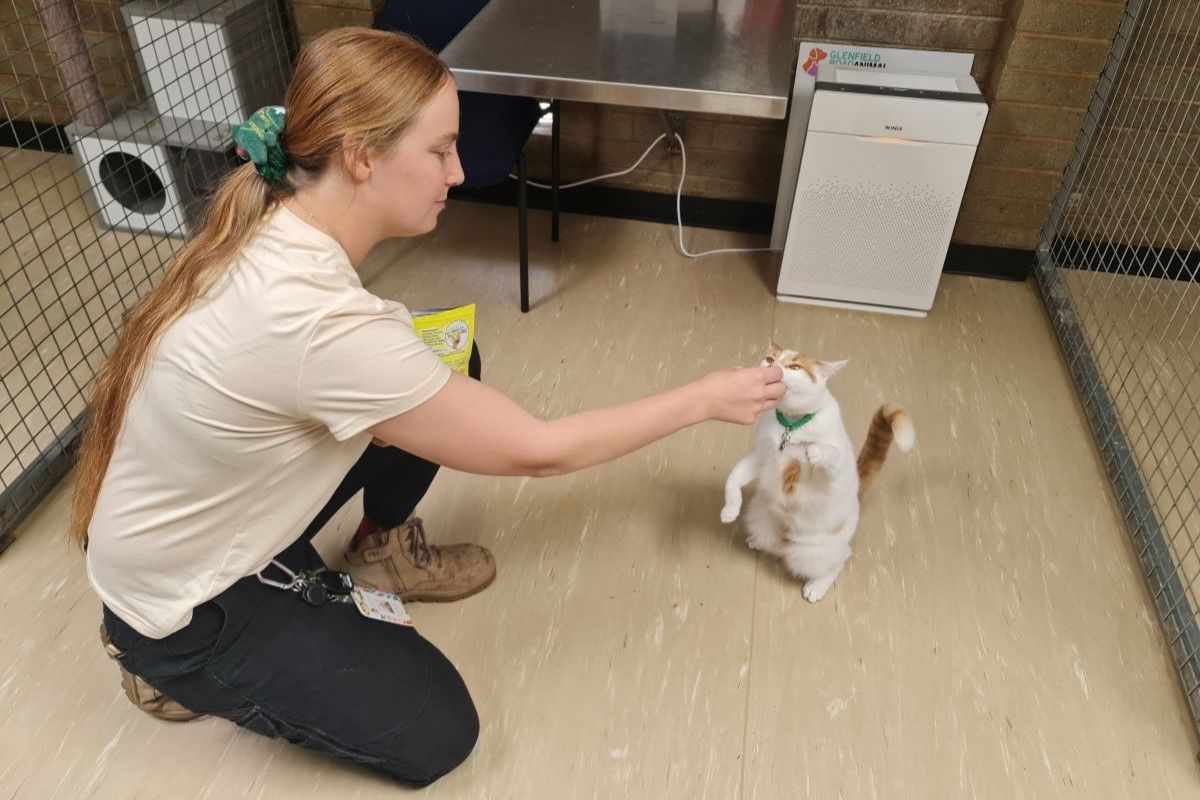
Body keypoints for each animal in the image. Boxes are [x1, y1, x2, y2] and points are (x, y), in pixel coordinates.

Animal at [715, 345, 912, 599]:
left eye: (795, 367)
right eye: (770, 359)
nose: (774, 366)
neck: (790, 426)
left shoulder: (831, 477)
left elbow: (831, 455)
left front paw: (816, 451)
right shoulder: (760, 455)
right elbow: (734, 477)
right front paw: (729, 509)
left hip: (811, 554)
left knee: (841, 558)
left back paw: (817, 586)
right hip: (760, 518)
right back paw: (757, 541)